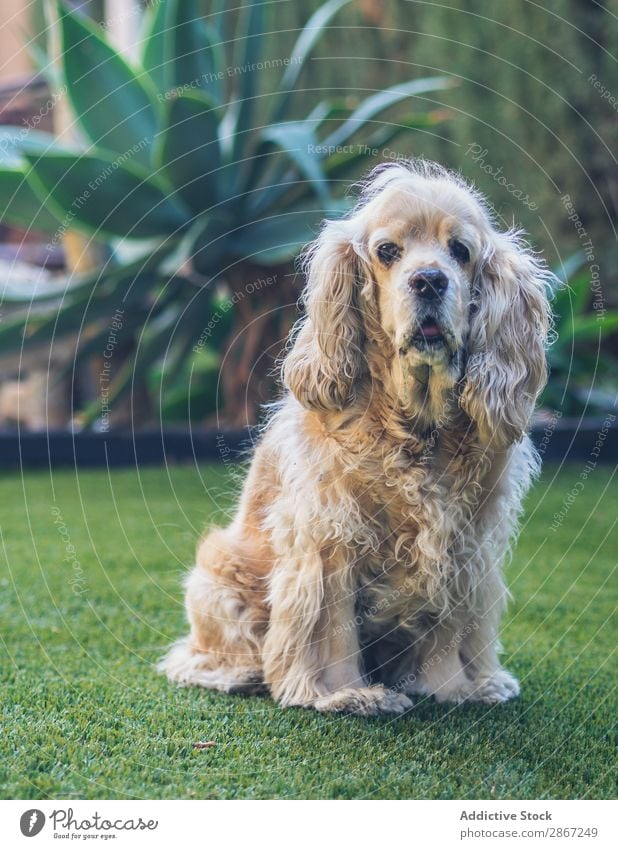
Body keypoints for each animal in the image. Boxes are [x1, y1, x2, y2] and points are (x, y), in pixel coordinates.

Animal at [158, 161, 548, 716]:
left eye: (460, 251)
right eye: (387, 251)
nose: (429, 280)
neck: (417, 428)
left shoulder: (464, 541)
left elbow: (450, 626)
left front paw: (457, 688)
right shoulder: (329, 533)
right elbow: (331, 627)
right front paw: (343, 692)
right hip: (218, 576)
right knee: (191, 658)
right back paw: (241, 674)